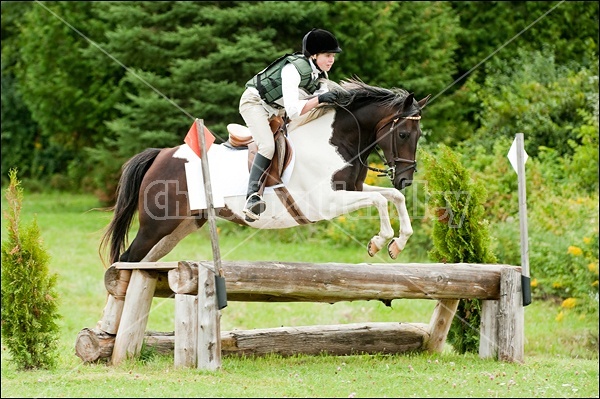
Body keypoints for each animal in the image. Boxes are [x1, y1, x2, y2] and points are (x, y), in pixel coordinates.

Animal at [101, 78, 432, 268]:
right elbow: (380, 201)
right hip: (155, 226)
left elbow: (393, 198)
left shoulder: (351, 189)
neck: (336, 140)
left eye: (418, 135)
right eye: (403, 134)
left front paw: (397, 245)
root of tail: (161, 155)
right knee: (125, 261)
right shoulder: (325, 202)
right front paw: (379, 241)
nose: (406, 178)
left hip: (178, 228)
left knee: (140, 265)